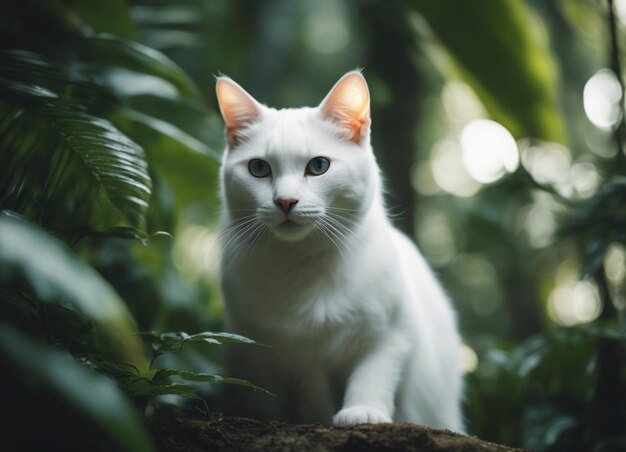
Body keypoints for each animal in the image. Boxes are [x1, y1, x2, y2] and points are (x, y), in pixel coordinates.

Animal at [217, 70, 460, 430]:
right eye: (258, 168)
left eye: (318, 166)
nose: (285, 201)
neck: (302, 266)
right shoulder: (272, 355)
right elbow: (299, 398)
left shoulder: (392, 333)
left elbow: (372, 374)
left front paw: (363, 412)